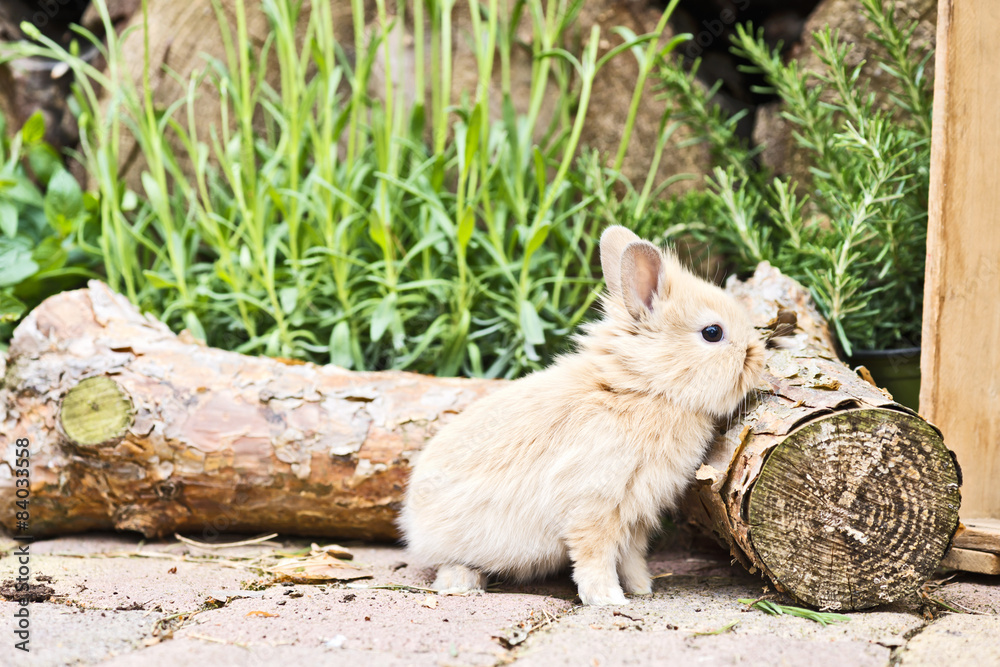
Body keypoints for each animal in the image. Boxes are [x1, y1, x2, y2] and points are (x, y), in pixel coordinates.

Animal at [398, 225, 765, 605]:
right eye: (712, 332)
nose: (760, 356)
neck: (645, 387)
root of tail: (411, 519)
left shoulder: (635, 515)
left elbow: (631, 556)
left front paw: (641, 588)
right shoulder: (593, 507)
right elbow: (594, 555)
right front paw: (607, 598)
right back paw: (462, 582)